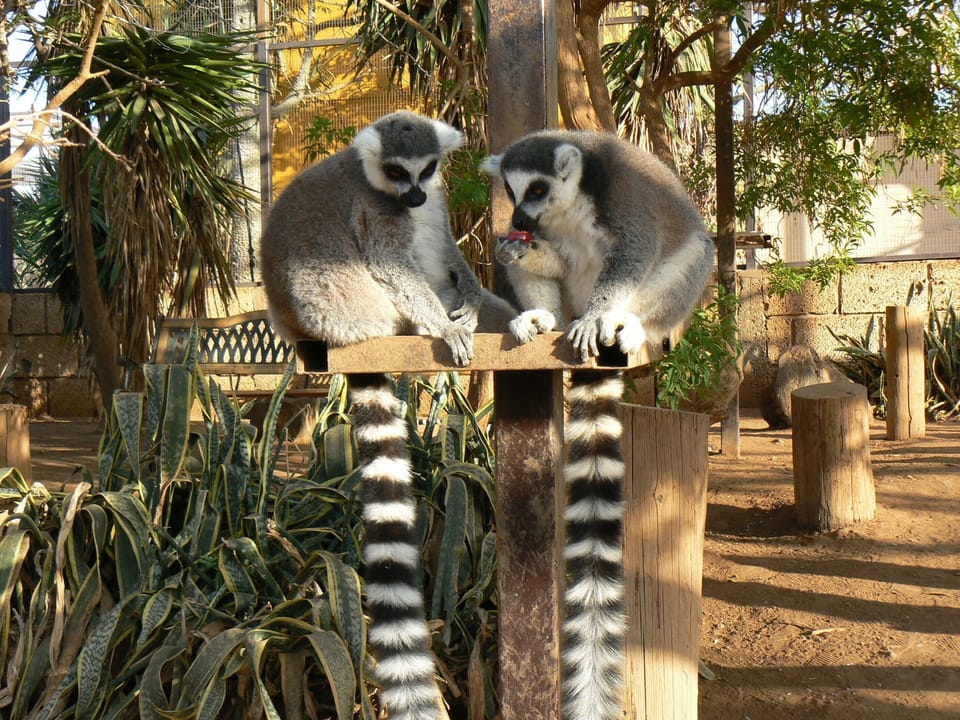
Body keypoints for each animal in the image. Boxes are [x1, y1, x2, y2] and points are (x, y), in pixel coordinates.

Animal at [260, 110, 514, 720]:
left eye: (425, 169)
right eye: (398, 172)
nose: (416, 194)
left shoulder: (435, 204)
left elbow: (445, 244)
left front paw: (470, 296)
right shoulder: (379, 212)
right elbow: (390, 260)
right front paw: (443, 325)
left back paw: (523, 321)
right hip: (342, 301)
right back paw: (427, 326)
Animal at [483, 129, 715, 720]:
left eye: (536, 188)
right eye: (512, 191)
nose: (520, 217)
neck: (568, 206)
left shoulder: (625, 197)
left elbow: (634, 253)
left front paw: (602, 315)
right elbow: (537, 256)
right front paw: (516, 250)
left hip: (673, 294)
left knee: (690, 253)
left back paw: (623, 324)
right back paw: (542, 320)